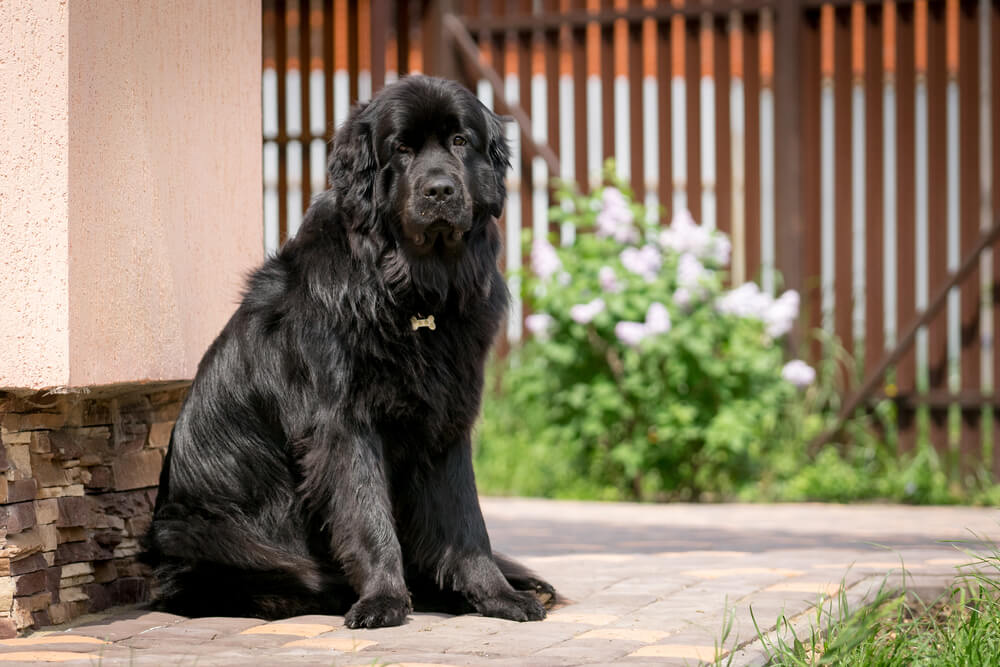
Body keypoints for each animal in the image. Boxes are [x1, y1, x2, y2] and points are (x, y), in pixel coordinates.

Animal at [143, 75, 556, 628]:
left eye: (459, 141)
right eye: (401, 149)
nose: (440, 190)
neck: (411, 292)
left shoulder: (448, 421)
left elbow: (466, 522)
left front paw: (497, 596)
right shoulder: (343, 424)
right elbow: (366, 515)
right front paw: (384, 600)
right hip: (202, 531)